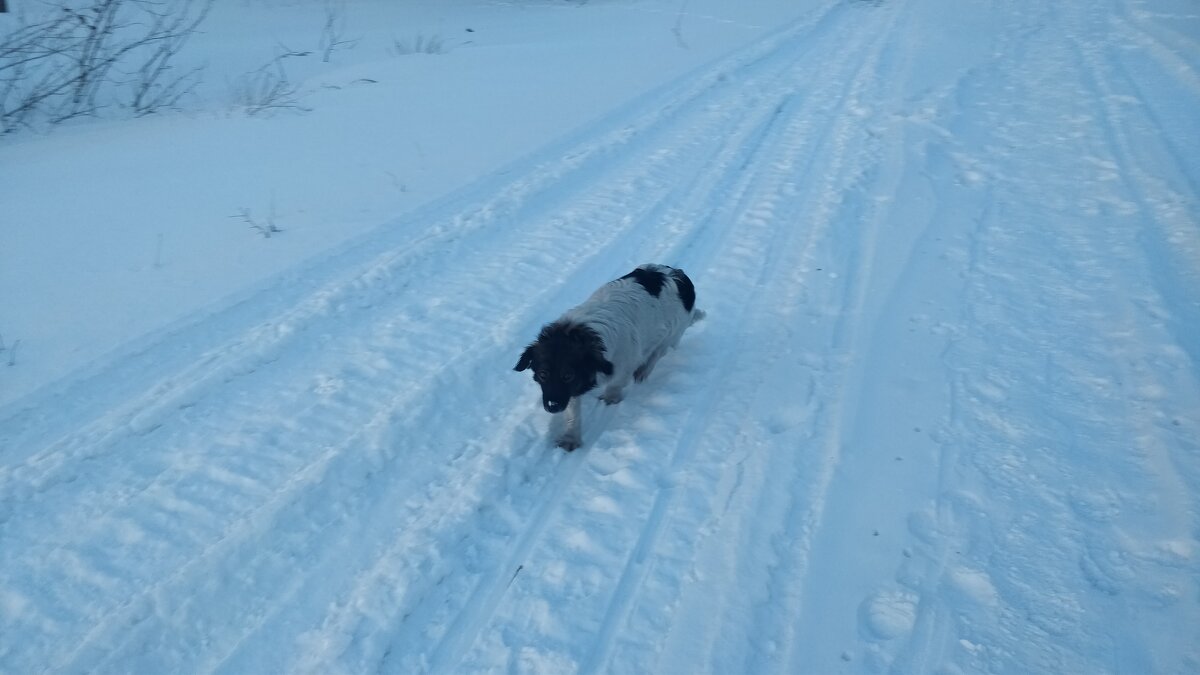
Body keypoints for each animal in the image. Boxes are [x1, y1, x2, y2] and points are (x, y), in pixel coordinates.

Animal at [513, 261, 700, 446]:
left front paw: (611, 397)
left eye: (567, 376)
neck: (582, 334)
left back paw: (643, 371)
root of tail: (677, 273)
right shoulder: (572, 390)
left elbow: (616, 384)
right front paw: (571, 437)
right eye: (543, 374)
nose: (552, 406)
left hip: (673, 333)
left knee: (657, 353)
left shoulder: (624, 364)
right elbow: (573, 413)